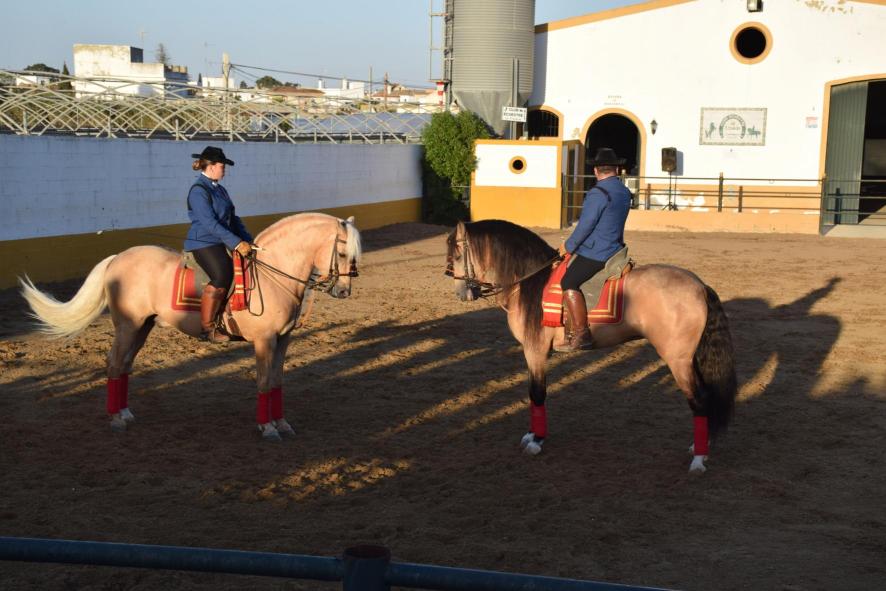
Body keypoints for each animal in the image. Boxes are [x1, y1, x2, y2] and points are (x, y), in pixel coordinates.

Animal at [19, 212, 362, 442]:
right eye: (343, 252)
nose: (344, 292)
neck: (273, 275)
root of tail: (119, 258)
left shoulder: (283, 339)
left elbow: (277, 381)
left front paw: (283, 424)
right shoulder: (264, 340)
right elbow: (264, 382)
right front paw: (267, 428)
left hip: (142, 327)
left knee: (125, 364)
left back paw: (126, 413)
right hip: (127, 326)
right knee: (114, 362)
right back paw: (116, 419)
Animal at [445, 219, 736, 474]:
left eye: (458, 255)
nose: (461, 293)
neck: (530, 281)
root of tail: (699, 286)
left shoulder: (534, 350)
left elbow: (537, 393)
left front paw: (536, 440)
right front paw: (532, 435)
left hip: (678, 360)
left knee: (698, 400)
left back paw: (698, 460)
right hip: (691, 358)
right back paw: (701, 446)